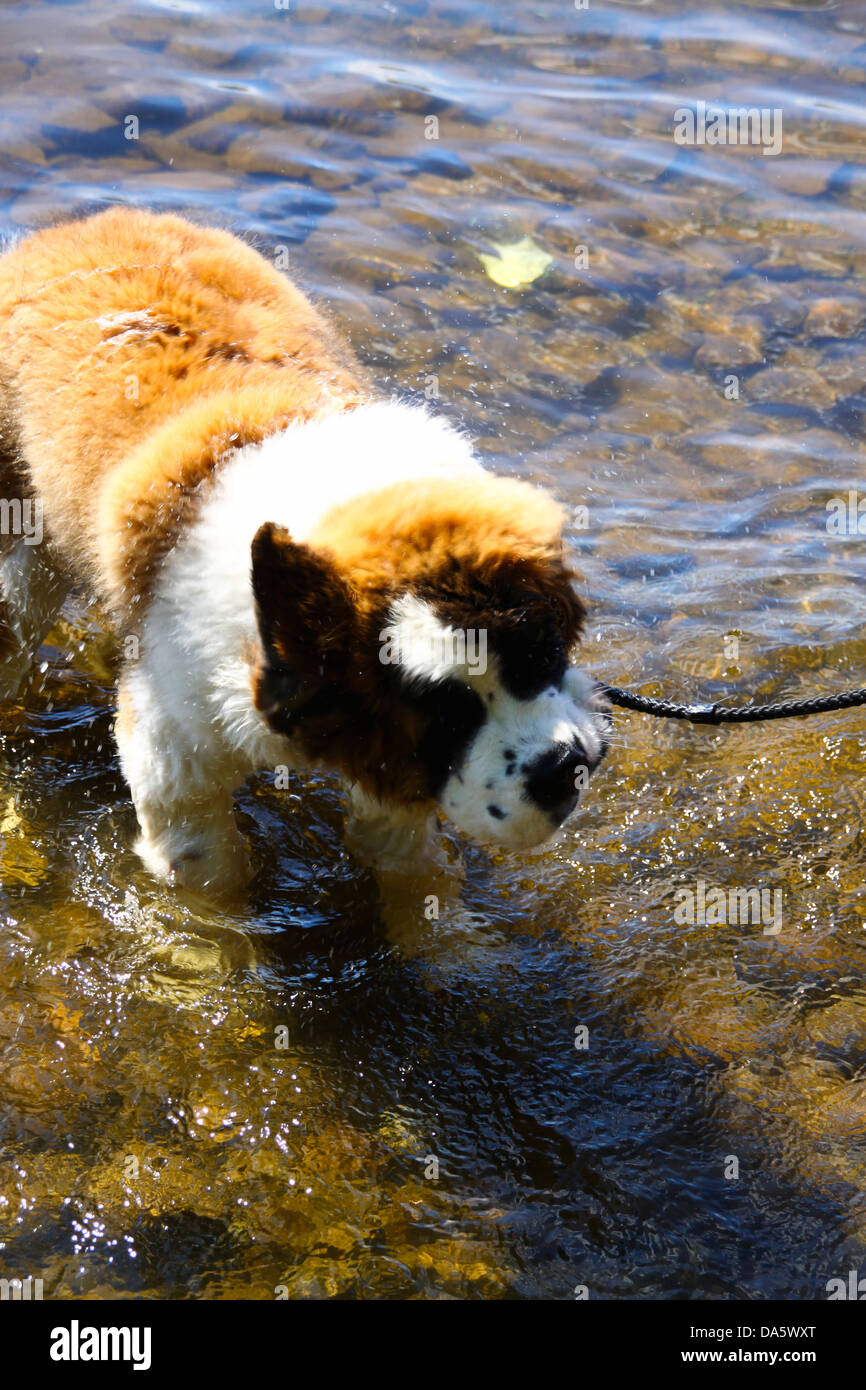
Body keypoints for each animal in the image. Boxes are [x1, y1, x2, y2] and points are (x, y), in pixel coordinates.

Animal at [0, 211, 608, 895]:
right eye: (444, 716)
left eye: (541, 655)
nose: (562, 765)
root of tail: (75, 228)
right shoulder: (177, 758)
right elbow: (211, 883)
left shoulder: (388, 769)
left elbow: (403, 862)